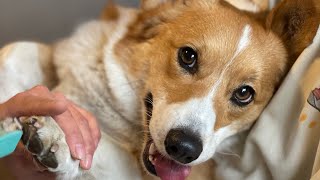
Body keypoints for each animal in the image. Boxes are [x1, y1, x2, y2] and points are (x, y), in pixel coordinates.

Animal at [0, 0, 318, 179]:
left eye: (244, 94)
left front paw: (63, 142)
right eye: (188, 56)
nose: (184, 149)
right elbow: (21, 51)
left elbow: (102, 149)